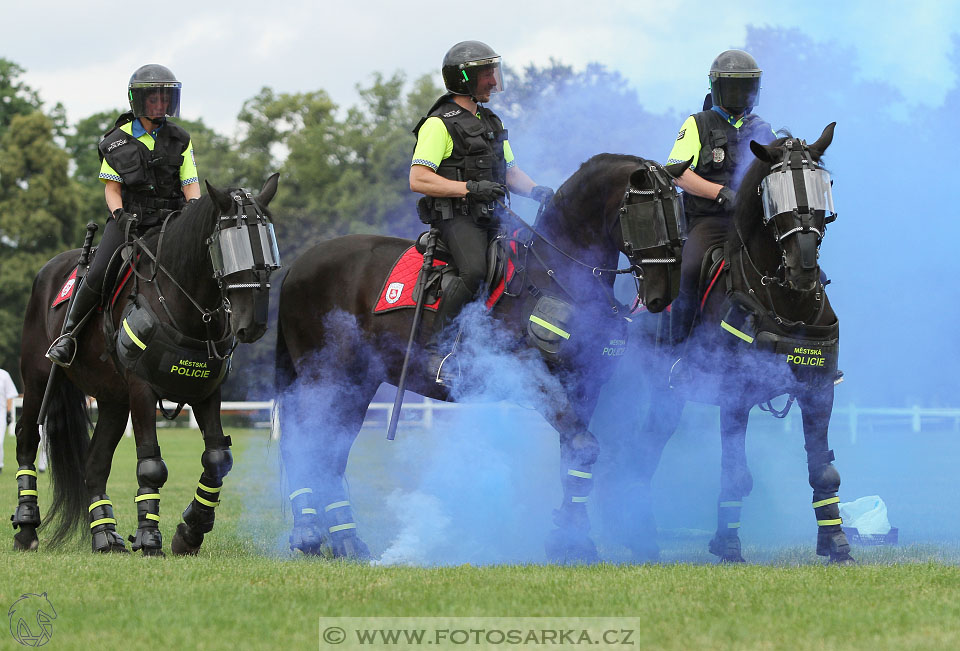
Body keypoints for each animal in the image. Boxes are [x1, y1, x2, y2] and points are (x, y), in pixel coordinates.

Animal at [13, 174, 280, 556]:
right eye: (229, 245)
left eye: (268, 245)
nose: (252, 323)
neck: (181, 300)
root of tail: (49, 271)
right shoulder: (142, 391)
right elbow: (151, 465)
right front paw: (150, 537)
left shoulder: (205, 392)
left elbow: (217, 458)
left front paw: (190, 530)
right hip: (36, 379)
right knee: (27, 437)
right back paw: (26, 527)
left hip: (112, 400)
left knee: (94, 463)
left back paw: (105, 535)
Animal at [274, 154, 688, 564]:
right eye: (646, 213)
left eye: (679, 212)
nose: (663, 294)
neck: (556, 275)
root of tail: (298, 266)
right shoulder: (533, 379)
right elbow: (586, 449)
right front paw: (572, 541)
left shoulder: (584, 386)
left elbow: (575, 457)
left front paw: (570, 539)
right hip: (329, 378)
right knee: (306, 442)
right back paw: (320, 536)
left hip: (357, 382)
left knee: (329, 448)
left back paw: (337, 539)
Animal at [632, 123, 856, 564]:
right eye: (773, 193)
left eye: (823, 186)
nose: (804, 268)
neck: (785, 301)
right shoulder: (734, 396)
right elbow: (735, 473)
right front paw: (728, 543)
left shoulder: (818, 390)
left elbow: (822, 468)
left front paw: (835, 541)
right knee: (646, 446)